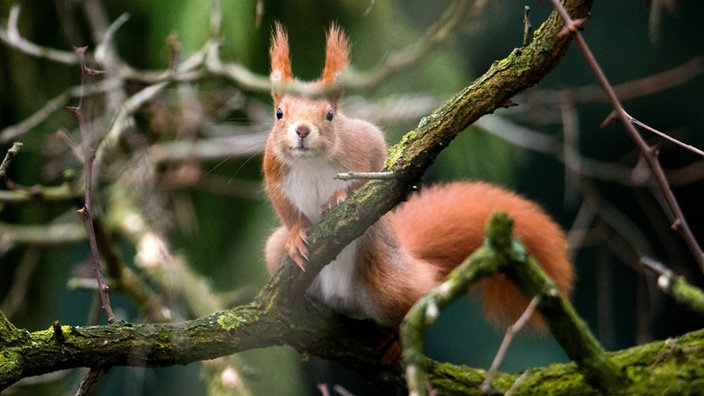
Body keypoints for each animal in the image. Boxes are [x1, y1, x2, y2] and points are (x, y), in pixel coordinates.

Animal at [262, 23, 576, 330]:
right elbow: (284, 209)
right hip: (274, 253)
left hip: (388, 277)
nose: (302, 130)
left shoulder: (365, 142)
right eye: (279, 113)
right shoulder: (273, 170)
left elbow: (375, 171)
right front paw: (296, 234)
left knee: (411, 300)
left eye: (329, 115)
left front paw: (340, 195)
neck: (310, 162)